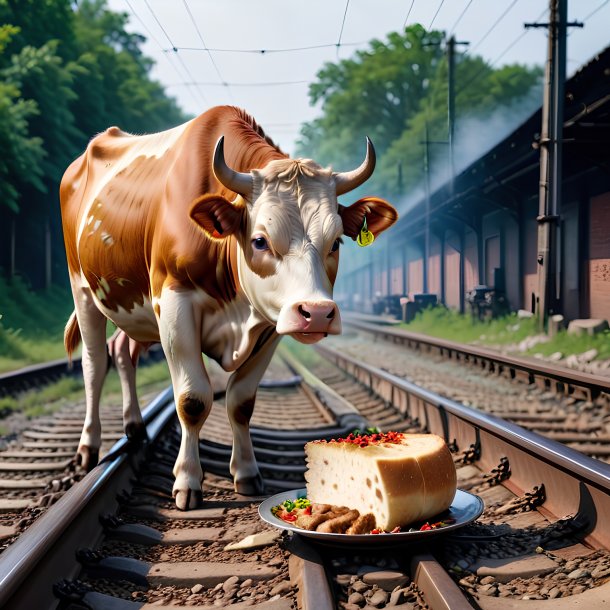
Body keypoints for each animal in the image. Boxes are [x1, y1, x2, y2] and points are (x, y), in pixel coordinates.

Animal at [59, 105, 396, 508]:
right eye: (260, 240)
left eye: (336, 243)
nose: (316, 312)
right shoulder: (174, 305)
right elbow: (192, 399)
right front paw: (187, 481)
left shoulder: (272, 322)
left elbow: (240, 400)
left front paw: (247, 473)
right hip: (82, 289)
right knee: (95, 364)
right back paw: (88, 448)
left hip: (135, 306)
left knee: (123, 351)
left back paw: (135, 427)